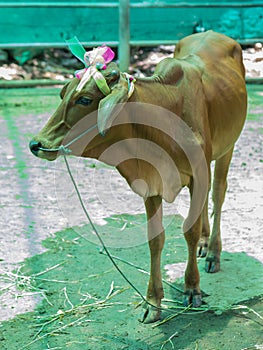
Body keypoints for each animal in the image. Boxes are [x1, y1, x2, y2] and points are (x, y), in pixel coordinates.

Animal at [29, 31, 249, 324]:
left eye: (85, 99)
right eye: (62, 94)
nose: (36, 144)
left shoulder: (197, 172)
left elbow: (188, 230)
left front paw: (192, 288)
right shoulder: (152, 184)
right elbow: (155, 239)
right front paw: (153, 301)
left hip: (228, 148)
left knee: (218, 194)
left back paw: (213, 251)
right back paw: (205, 243)